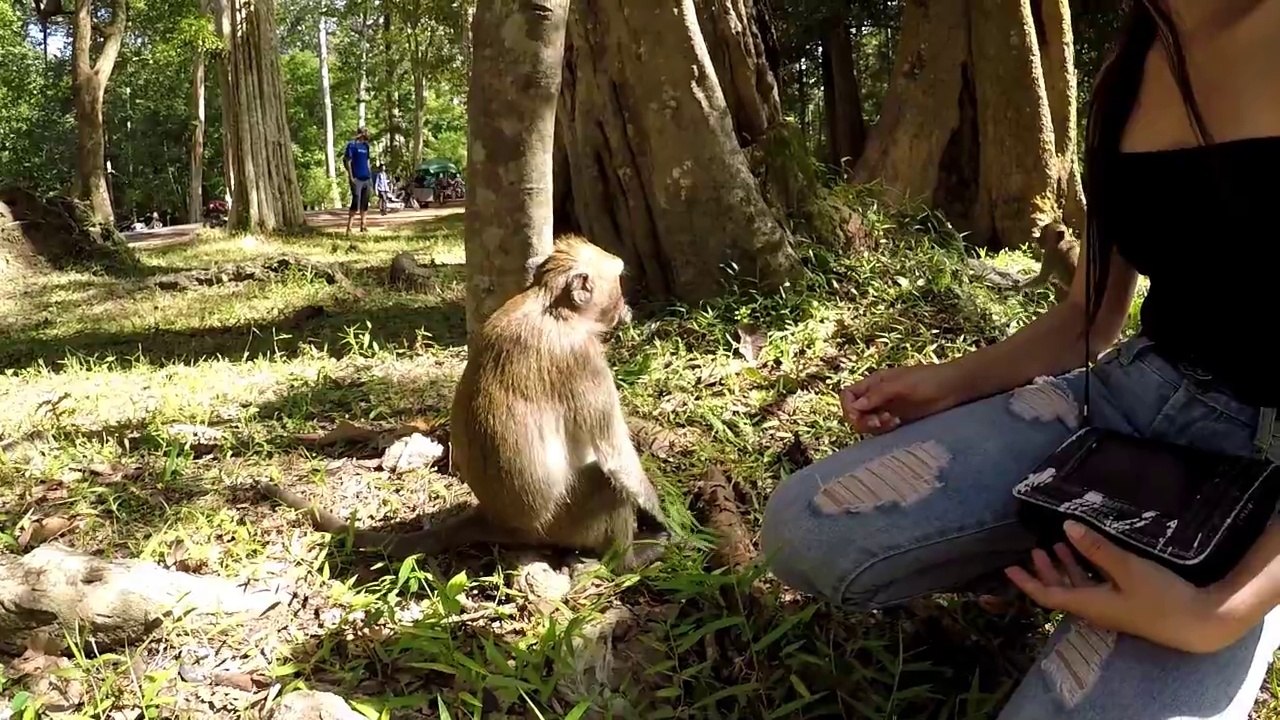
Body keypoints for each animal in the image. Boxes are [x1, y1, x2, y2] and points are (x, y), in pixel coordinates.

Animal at [259, 235, 671, 571]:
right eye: (618, 282)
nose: (627, 306)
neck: (551, 308)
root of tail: (497, 518)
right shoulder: (583, 358)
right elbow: (615, 457)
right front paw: (663, 519)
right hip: (566, 521)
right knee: (604, 480)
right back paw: (628, 559)